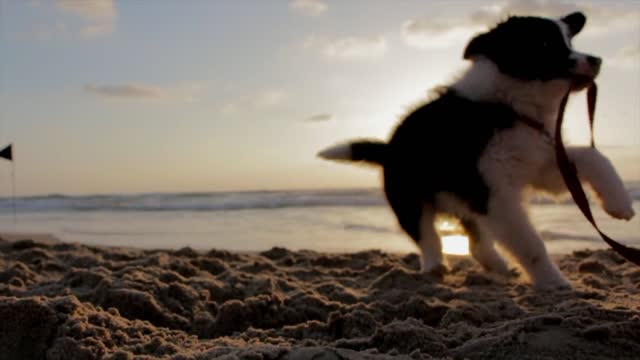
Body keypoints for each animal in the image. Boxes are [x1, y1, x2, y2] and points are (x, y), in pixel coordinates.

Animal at [320, 12, 636, 292]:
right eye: (546, 44)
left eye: (569, 41)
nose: (596, 60)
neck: (509, 106)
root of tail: (389, 148)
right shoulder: (496, 193)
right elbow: (529, 242)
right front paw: (552, 281)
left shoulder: (540, 164)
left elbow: (592, 156)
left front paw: (619, 203)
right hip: (410, 199)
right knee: (428, 236)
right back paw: (435, 267)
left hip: (466, 201)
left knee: (475, 242)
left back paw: (498, 266)